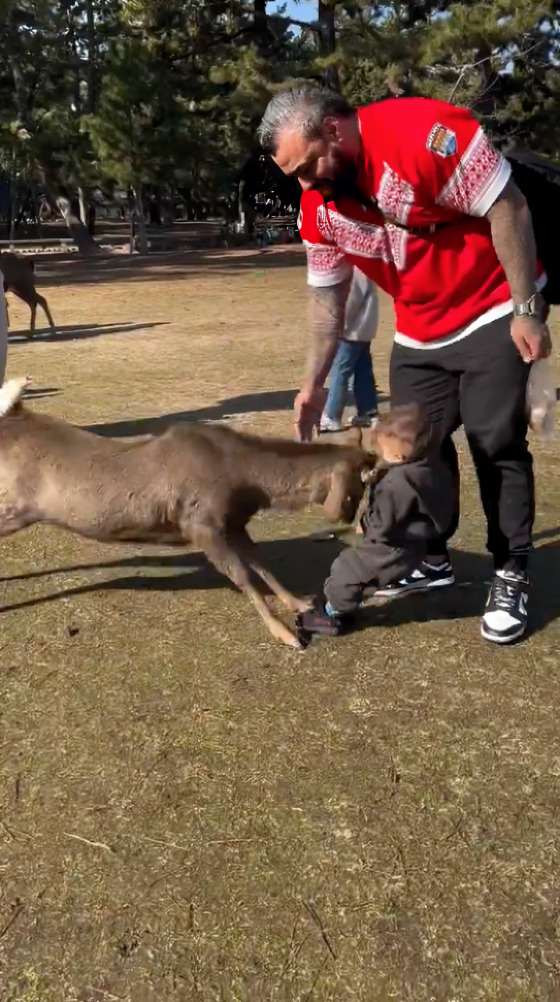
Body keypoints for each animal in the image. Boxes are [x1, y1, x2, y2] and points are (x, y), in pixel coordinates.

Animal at [0, 376, 376, 649]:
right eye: (360, 487)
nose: (355, 521)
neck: (248, 483)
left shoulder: (234, 523)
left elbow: (262, 564)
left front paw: (299, 603)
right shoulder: (200, 523)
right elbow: (242, 576)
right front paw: (285, 634)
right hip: (15, 505)